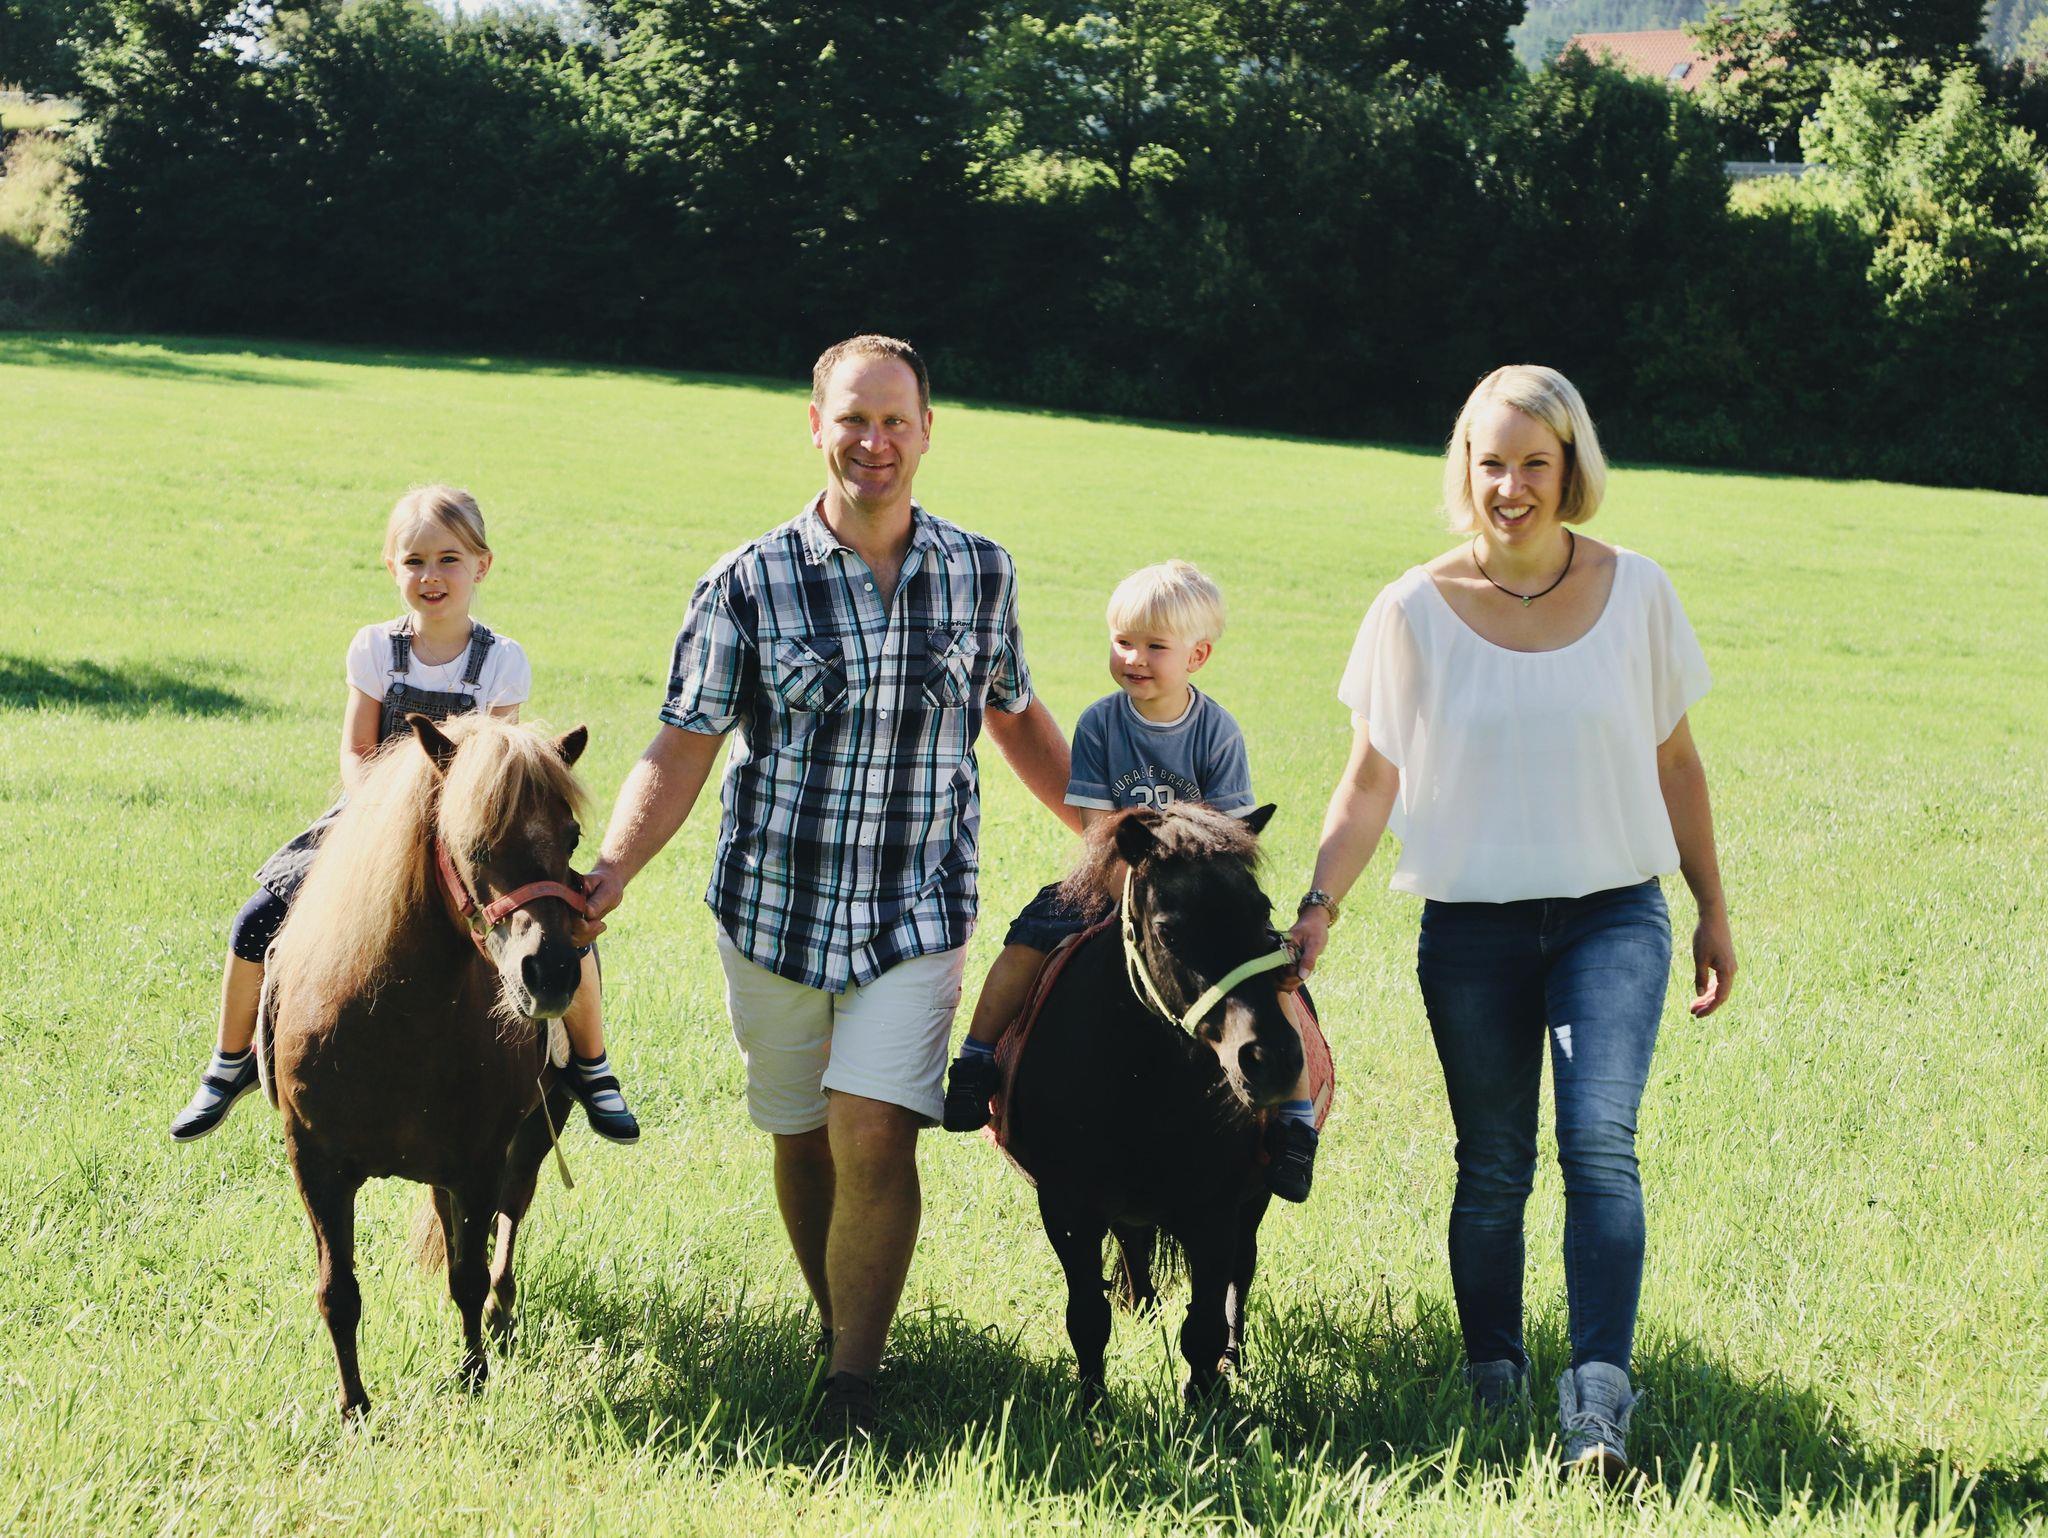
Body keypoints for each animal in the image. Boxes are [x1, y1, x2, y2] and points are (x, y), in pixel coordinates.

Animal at [259, 712, 592, 1418]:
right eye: (474, 841)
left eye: (572, 835)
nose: (551, 973)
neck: (395, 1019)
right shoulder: (315, 1165)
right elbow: (338, 1292)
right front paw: (354, 1408)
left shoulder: (480, 1159)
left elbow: (467, 1273)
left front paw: (473, 1378)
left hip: (534, 1132)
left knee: (510, 1215)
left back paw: (501, 1316)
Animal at [1000, 802, 1312, 1408]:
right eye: (1169, 931)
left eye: (1263, 914)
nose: (1273, 1060)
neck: (1139, 1083)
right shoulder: (1067, 1210)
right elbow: (1087, 1316)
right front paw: (1092, 1407)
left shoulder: (1216, 1211)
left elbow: (1206, 1323)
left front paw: (1206, 1406)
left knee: (1241, 1272)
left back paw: (1233, 1358)